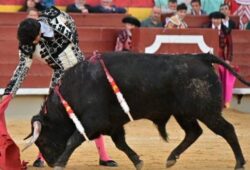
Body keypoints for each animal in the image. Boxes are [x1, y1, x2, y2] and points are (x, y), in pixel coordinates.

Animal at [26, 52, 249, 169]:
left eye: (42, 141)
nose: (49, 162)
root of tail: (200, 56)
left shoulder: (92, 121)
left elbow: (74, 139)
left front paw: (60, 163)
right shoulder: (113, 124)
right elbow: (121, 144)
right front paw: (138, 161)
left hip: (207, 111)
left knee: (227, 130)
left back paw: (239, 163)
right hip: (184, 113)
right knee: (194, 132)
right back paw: (171, 158)